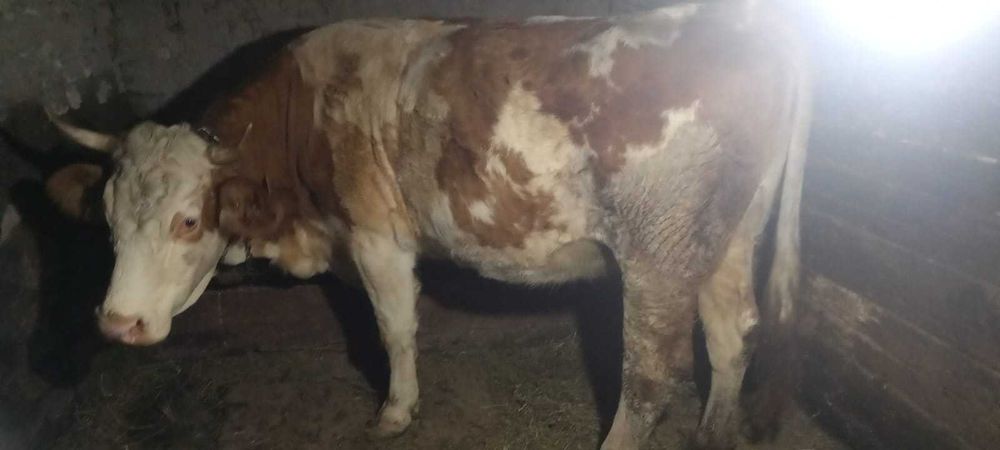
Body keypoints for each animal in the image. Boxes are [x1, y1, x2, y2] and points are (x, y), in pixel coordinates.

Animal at [44, 1, 811, 448]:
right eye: (107, 222)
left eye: (188, 220)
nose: (118, 324)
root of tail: (747, 28)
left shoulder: (374, 235)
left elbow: (394, 329)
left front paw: (395, 411)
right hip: (725, 236)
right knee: (734, 332)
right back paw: (715, 433)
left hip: (657, 250)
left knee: (650, 375)